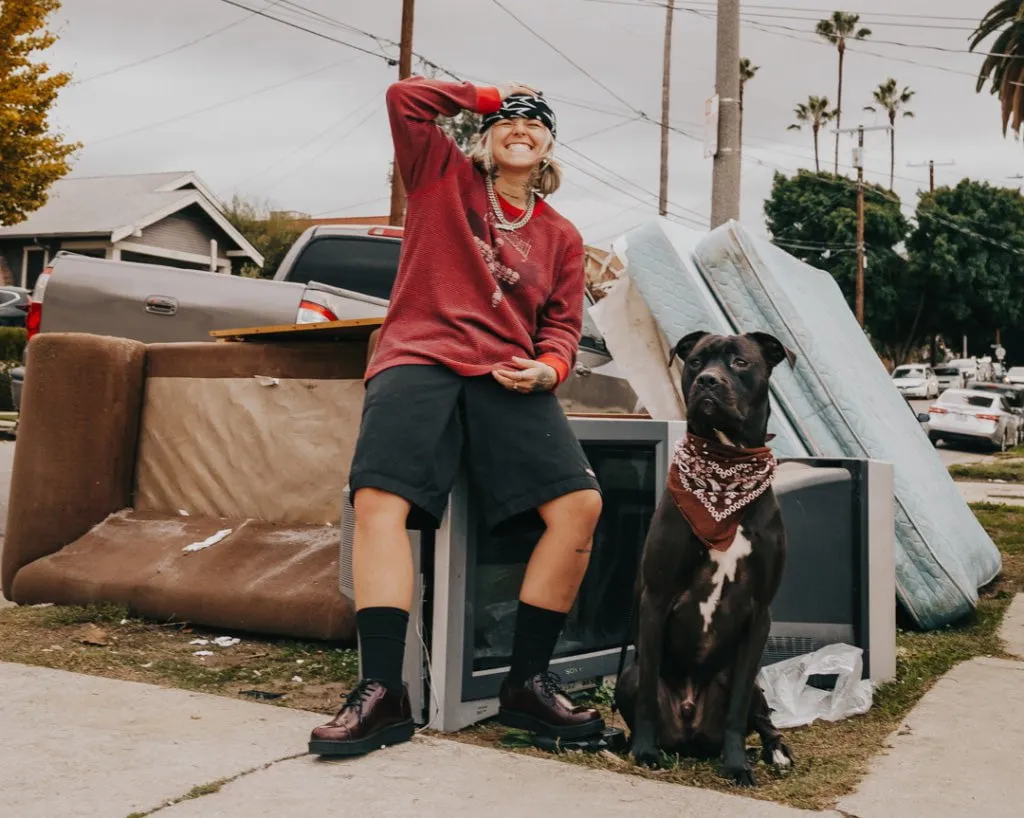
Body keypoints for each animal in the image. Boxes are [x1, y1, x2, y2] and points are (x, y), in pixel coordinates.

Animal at [614, 331, 798, 786]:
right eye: (696, 361)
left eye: (740, 362)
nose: (708, 382)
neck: (725, 468)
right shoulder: (656, 598)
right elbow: (647, 695)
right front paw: (644, 751)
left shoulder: (760, 612)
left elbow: (737, 713)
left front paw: (737, 764)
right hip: (626, 676)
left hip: (750, 683)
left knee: (760, 716)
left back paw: (775, 751)